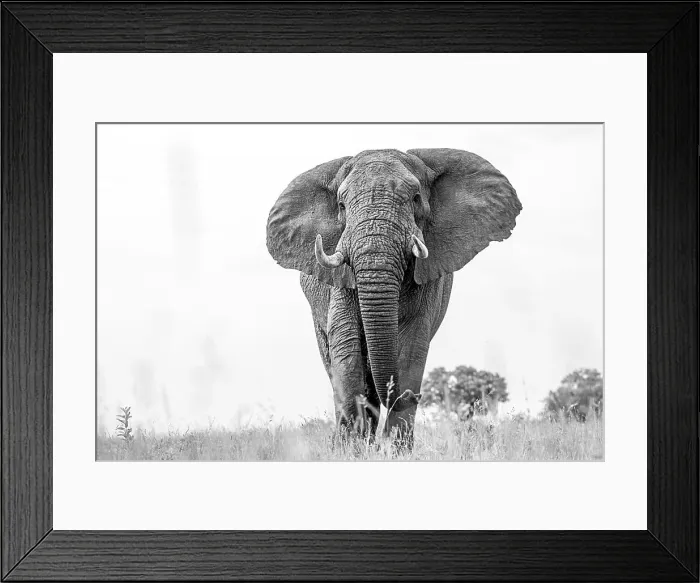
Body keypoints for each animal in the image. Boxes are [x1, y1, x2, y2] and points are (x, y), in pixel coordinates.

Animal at [266, 148, 521, 448]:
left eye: (415, 198)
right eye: (341, 205)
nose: (415, 396)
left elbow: (412, 345)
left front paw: (394, 449)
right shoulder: (341, 277)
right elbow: (347, 346)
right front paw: (350, 448)